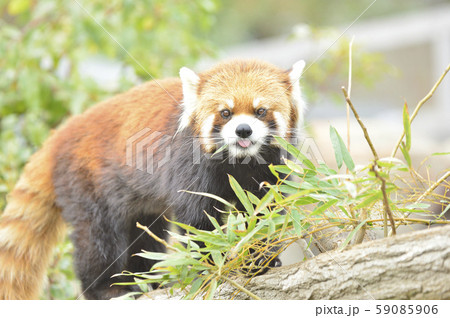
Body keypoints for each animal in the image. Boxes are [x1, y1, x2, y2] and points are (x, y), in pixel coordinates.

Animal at [0, 58, 306, 300]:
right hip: (88, 185)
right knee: (97, 239)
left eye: (260, 111)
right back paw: (109, 289)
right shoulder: (189, 166)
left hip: (140, 206)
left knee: (145, 240)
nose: (243, 130)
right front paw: (210, 264)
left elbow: (265, 212)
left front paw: (259, 259)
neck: (240, 162)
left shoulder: (270, 171)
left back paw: (146, 282)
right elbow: (198, 221)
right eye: (225, 112)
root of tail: (60, 135)